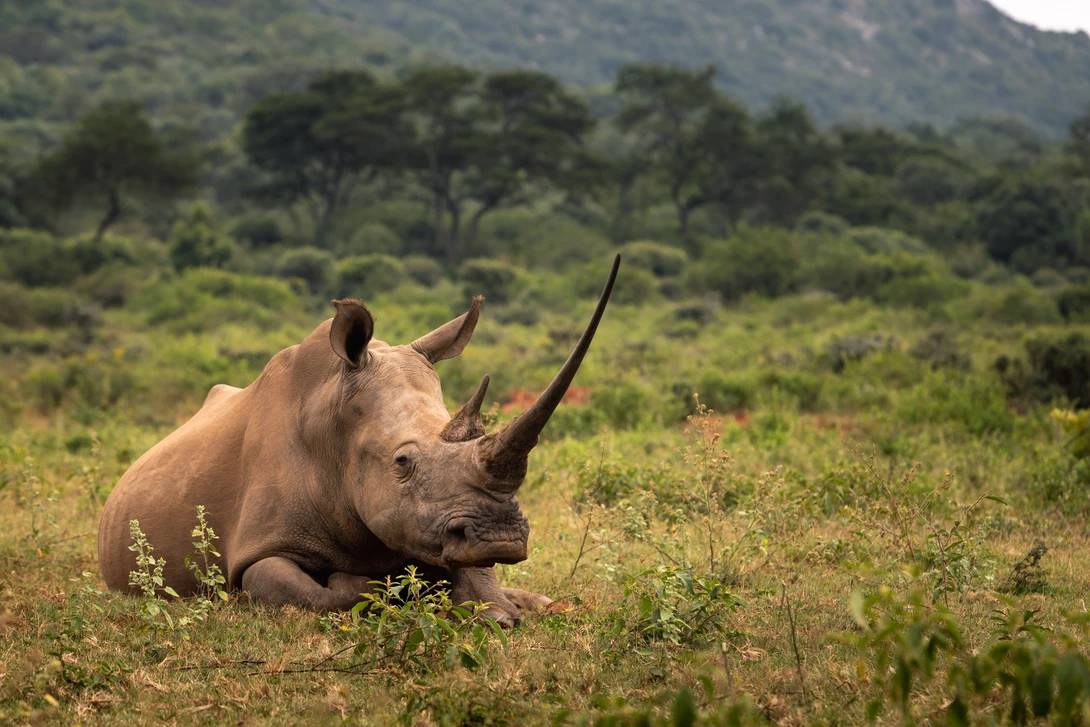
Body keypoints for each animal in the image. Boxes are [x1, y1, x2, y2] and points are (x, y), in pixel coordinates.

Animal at [97, 256, 620, 626]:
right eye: (403, 461)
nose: (502, 538)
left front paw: (505, 610)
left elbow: (477, 579)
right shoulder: (258, 552)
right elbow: (314, 595)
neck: (333, 432)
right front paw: (361, 583)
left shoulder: (432, 526)